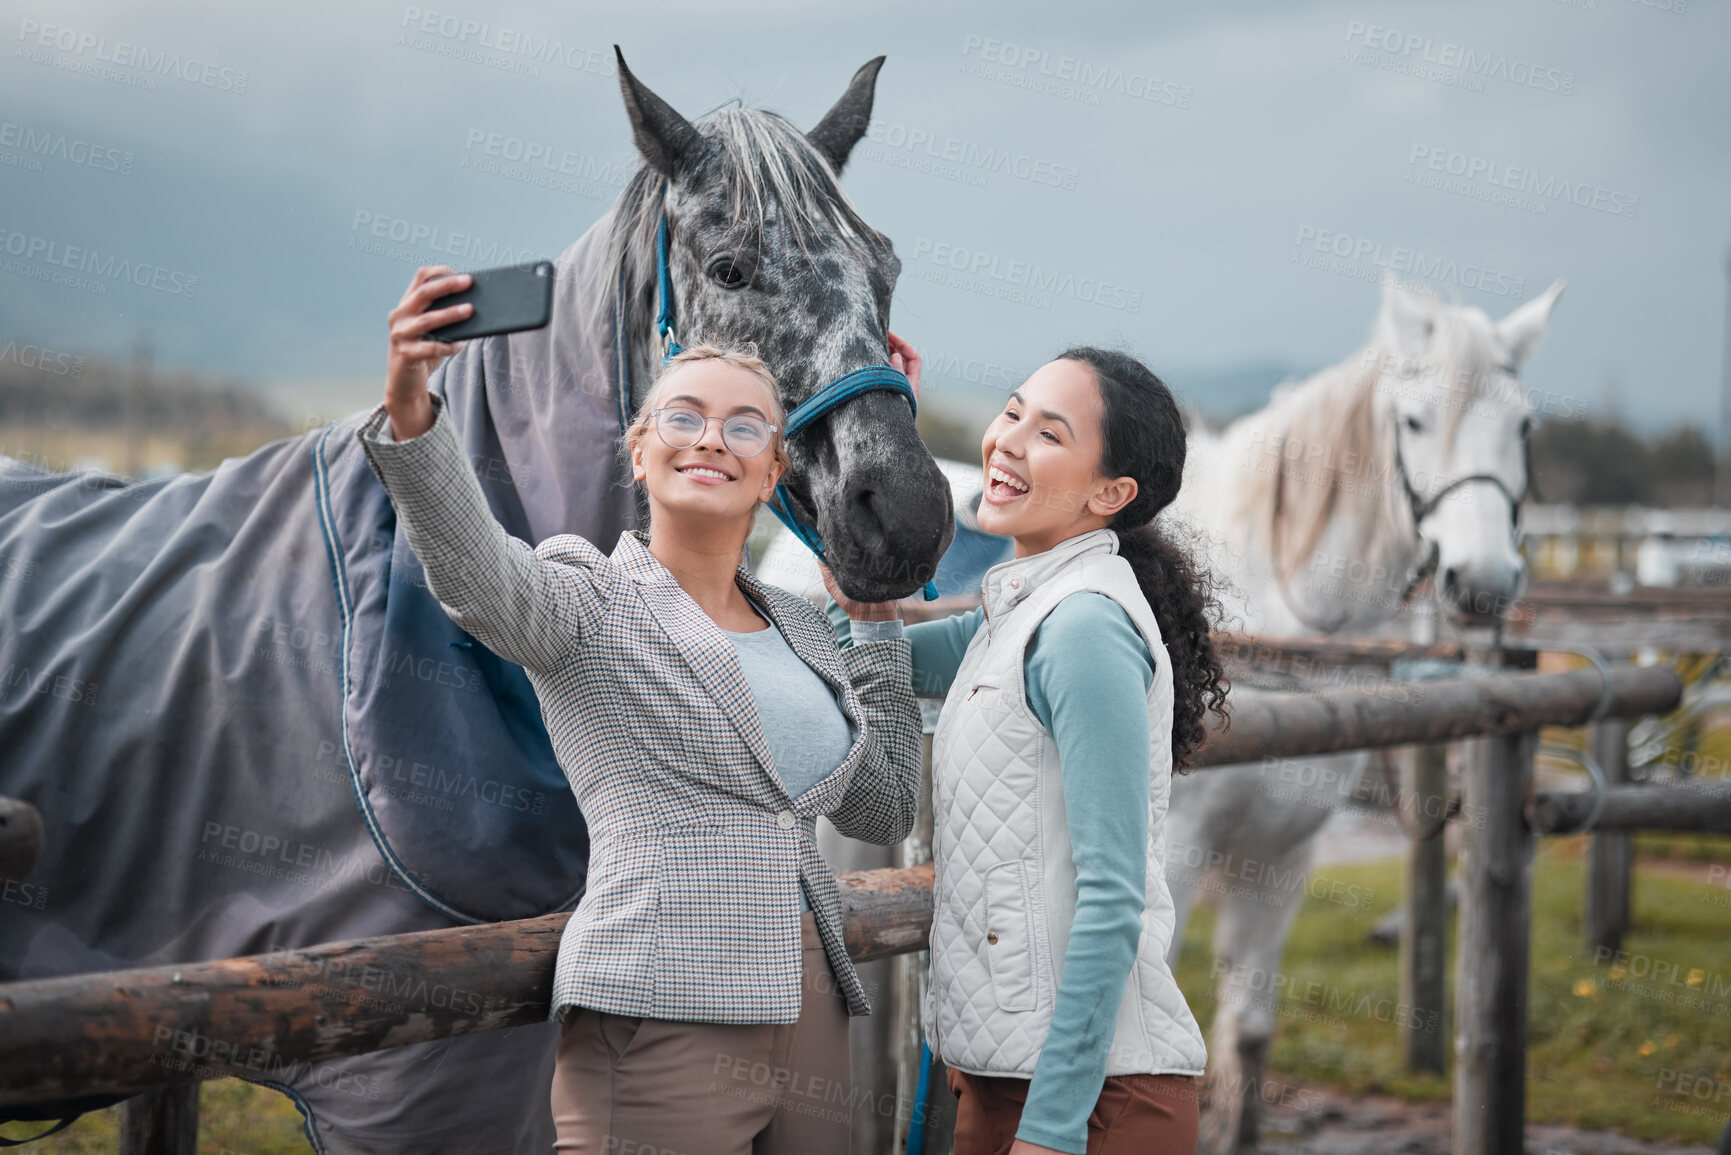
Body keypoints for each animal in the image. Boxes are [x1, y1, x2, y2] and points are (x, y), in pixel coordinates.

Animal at [1170, 282, 1564, 1155]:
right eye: (1413, 420)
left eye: (1524, 424)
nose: (1482, 581)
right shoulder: (1171, 854)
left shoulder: (1280, 854)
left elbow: (1245, 1033)